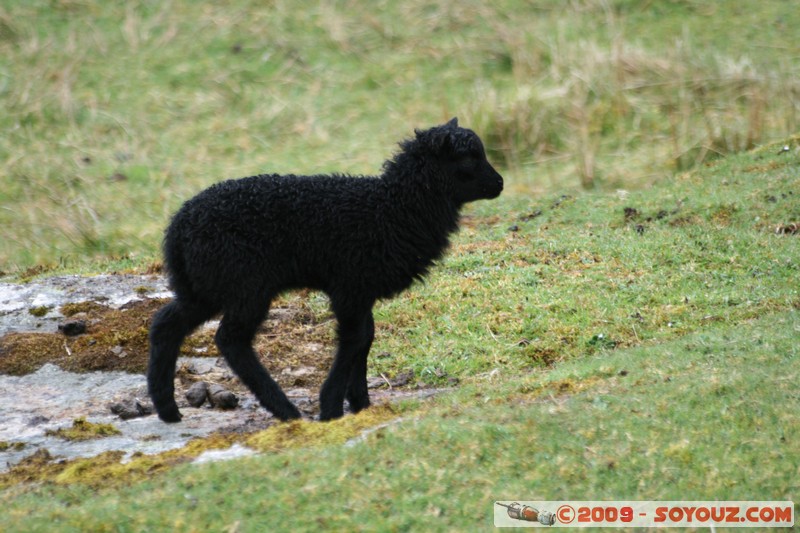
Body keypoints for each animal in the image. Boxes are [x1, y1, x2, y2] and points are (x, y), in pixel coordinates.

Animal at [147, 118, 504, 422]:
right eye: (469, 159)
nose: (500, 183)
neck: (393, 209)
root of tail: (178, 228)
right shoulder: (349, 286)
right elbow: (354, 339)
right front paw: (331, 406)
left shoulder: (361, 289)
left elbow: (365, 339)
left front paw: (359, 404)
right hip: (245, 284)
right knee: (231, 340)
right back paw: (286, 411)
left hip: (204, 285)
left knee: (166, 325)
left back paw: (168, 409)